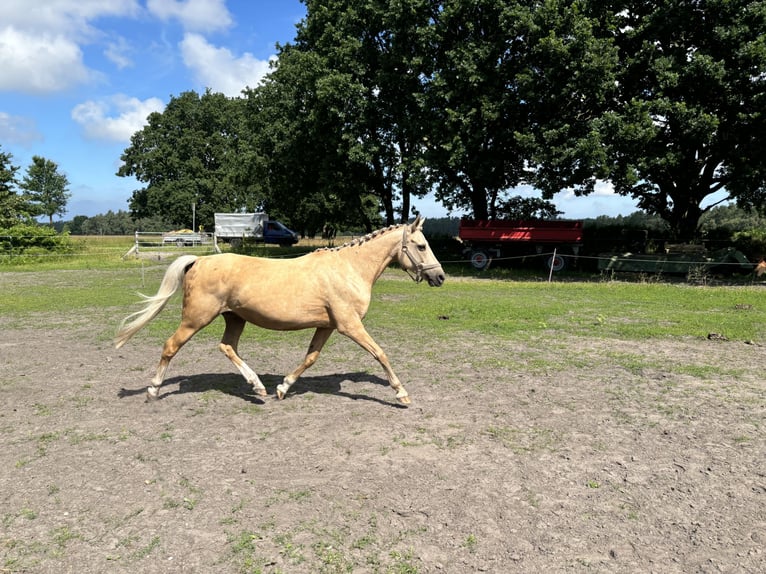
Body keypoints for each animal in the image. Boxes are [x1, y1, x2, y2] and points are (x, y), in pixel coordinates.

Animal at [117, 216, 448, 404]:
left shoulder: (327, 326)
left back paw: (258, 388)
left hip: (234, 318)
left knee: (227, 346)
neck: (349, 268)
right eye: (421, 246)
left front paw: (282, 388)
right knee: (171, 346)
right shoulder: (350, 325)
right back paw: (153, 391)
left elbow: (311, 358)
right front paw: (401, 393)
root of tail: (199, 260)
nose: (440, 277)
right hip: (196, 319)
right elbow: (380, 353)